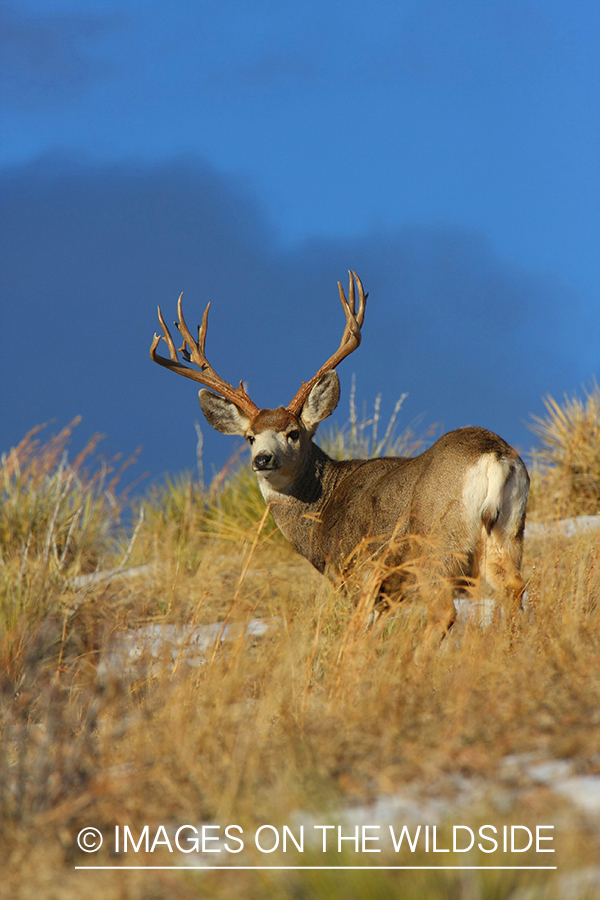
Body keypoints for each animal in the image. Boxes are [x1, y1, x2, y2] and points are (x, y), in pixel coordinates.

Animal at [150, 272, 529, 637]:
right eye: (249, 437)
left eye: (293, 433)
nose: (263, 460)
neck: (321, 514)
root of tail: (493, 455)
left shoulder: (359, 574)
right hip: (508, 534)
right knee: (514, 587)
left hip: (435, 545)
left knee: (444, 612)